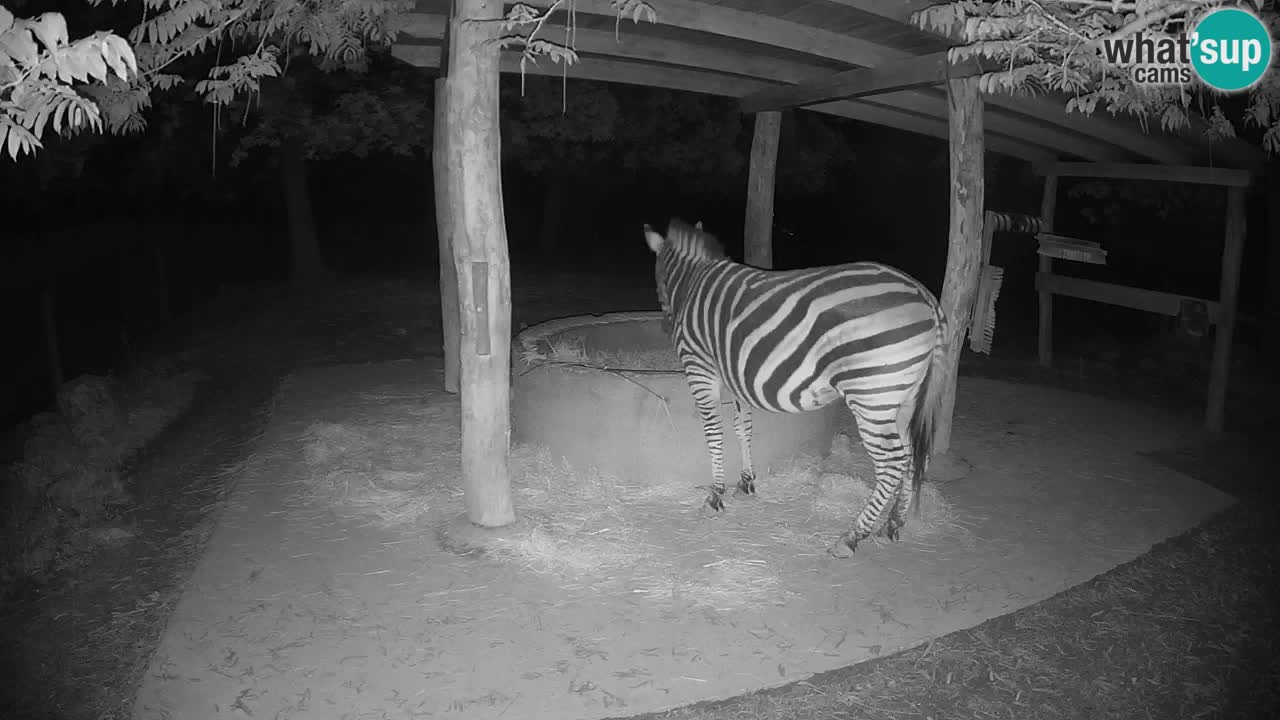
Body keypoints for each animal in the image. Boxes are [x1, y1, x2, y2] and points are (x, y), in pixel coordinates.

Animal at [642, 218, 949, 557]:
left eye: (658, 278)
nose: (665, 326)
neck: (693, 282)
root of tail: (925, 296)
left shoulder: (700, 368)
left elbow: (714, 433)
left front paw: (715, 496)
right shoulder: (734, 375)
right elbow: (742, 427)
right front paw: (746, 483)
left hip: (872, 396)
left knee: (892, 463)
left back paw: (851, 537)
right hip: (906, 397)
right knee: (912, 456)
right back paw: (893, 525)